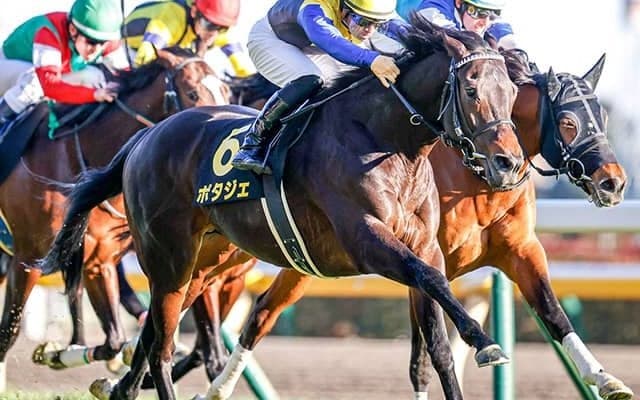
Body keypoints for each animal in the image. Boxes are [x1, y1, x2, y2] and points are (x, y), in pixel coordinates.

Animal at [0, 47, 228, 370]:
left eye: (225, 88)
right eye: (193, 92)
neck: (77, 158)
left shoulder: (100, 262)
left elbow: (114, 340)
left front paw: (59, 353)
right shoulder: (27, 258)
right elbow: (8, 332)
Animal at [41, 18, 527, 399]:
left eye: (510, 91)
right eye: (470, 89)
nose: (508, 163)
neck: (384, 139)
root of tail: (145, 137)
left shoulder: (425, 245)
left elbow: (438, 341)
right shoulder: (366, 241)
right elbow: (430, 280)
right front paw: (484, 342)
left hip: (204, 261)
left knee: (153, 335)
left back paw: (119, 386)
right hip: (168, 257)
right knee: (160, 349)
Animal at [170, 50, 631, 400]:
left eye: (603, 118)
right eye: (569, 122)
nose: (613, 182)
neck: (475, 177)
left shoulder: (518, 251)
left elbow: (553, 311)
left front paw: (605, 377)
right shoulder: (422, 264)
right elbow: (425, 358)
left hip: (287, 259)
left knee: (259, 312)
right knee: (246, 313)